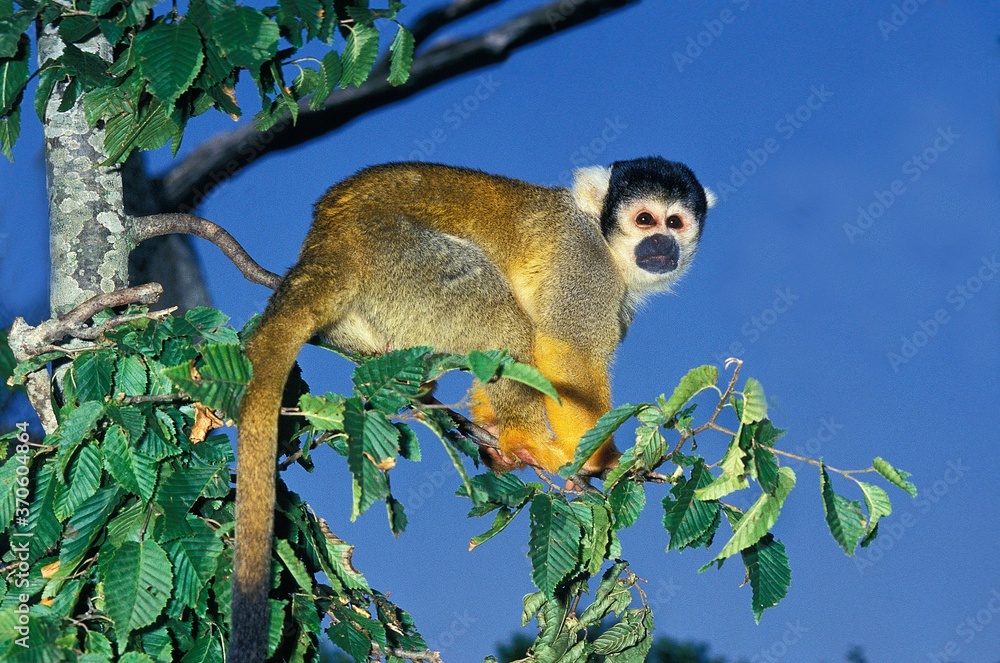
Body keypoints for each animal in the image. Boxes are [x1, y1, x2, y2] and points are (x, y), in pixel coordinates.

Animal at [230, 157, 713, 661]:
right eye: (645, 219)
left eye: (675, 223)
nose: (662, 245)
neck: (607, 247)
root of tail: (329, 242)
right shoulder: (585, 267)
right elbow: (569, 355)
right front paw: (602, 458)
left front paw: (496, 429)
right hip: (403, 260)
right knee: (502, 319)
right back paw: (526, 437)